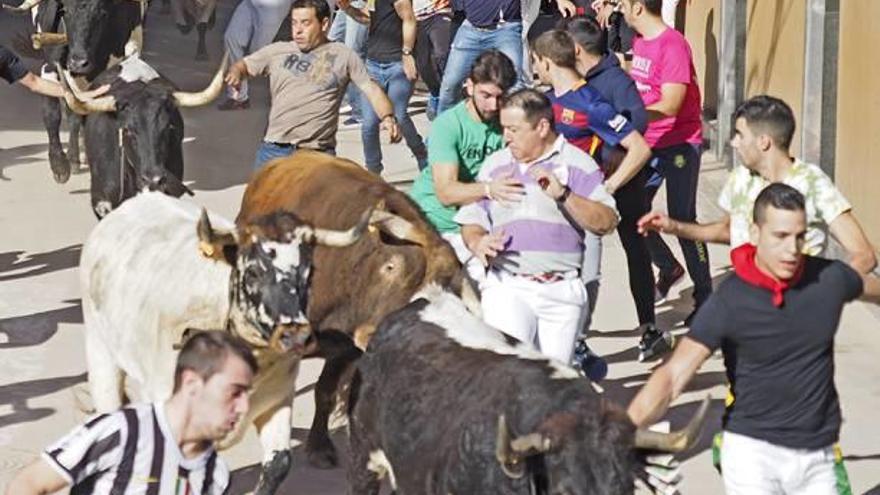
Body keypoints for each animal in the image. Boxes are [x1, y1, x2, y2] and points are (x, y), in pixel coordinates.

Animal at [2, 0, 143, 182]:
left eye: (103, 13)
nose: (78, 63)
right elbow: (52, 113)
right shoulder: (50, 66)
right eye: (65, 11)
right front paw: (60, 165)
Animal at [237, 153, 478, 470]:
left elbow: (325, 392)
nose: (377, 333)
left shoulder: (347, 351)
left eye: (446, 289)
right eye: (390, 266)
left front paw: (319, 446)